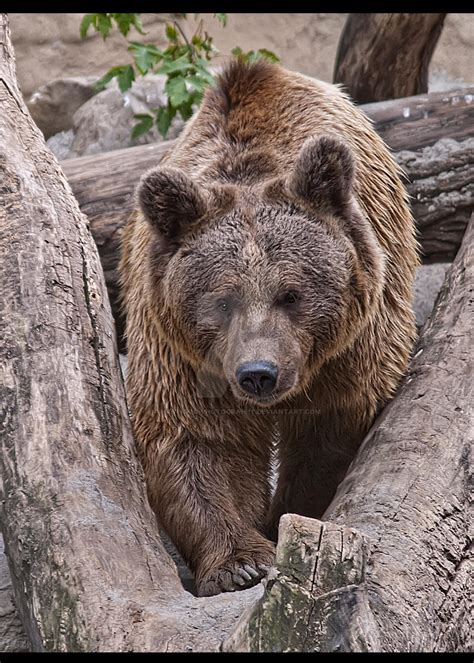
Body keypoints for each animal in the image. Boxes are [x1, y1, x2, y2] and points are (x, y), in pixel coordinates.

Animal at [119, 59, 418, 596]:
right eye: (222, 301)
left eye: (292, 294)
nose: (259, 373)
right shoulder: (181, 351)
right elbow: (201, 441)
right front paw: (240, 562)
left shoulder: (353, 348)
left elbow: (328, 437)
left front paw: (288, 517)